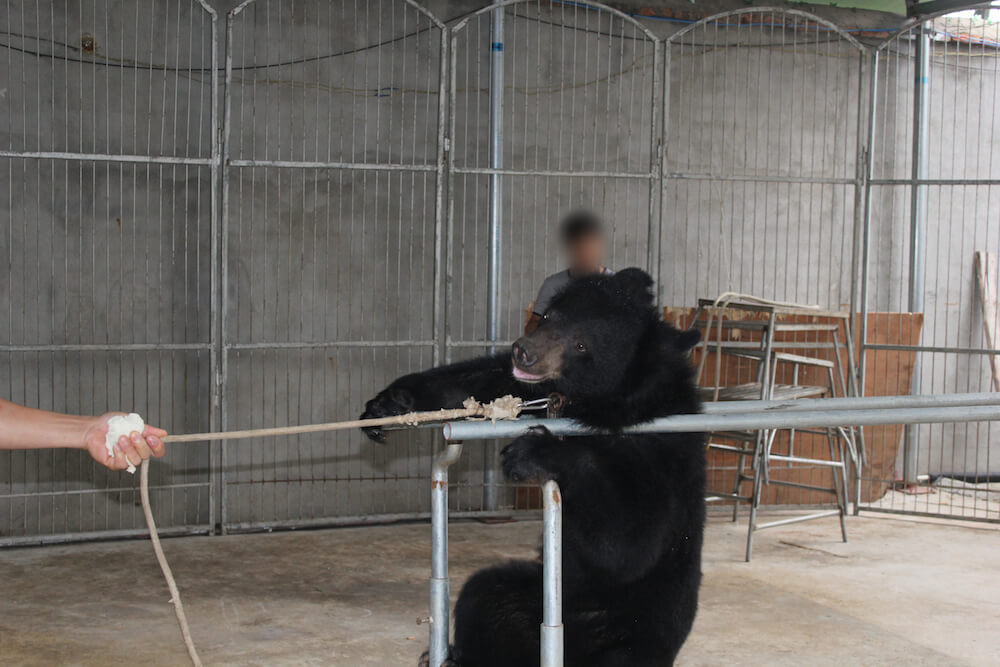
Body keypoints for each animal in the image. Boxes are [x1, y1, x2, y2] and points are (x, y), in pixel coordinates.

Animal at [360, 268, 704, 664]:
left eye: (581, 344)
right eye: (549, 316)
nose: (524, 352)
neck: (599, 401)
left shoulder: (661, 449)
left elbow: (631, 541)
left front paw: (533, 453)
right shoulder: (532, 391)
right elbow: (480, 383)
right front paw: (390, 404)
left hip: (622, 630)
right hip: (538, 593)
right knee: (486, 594)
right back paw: (455, 655)